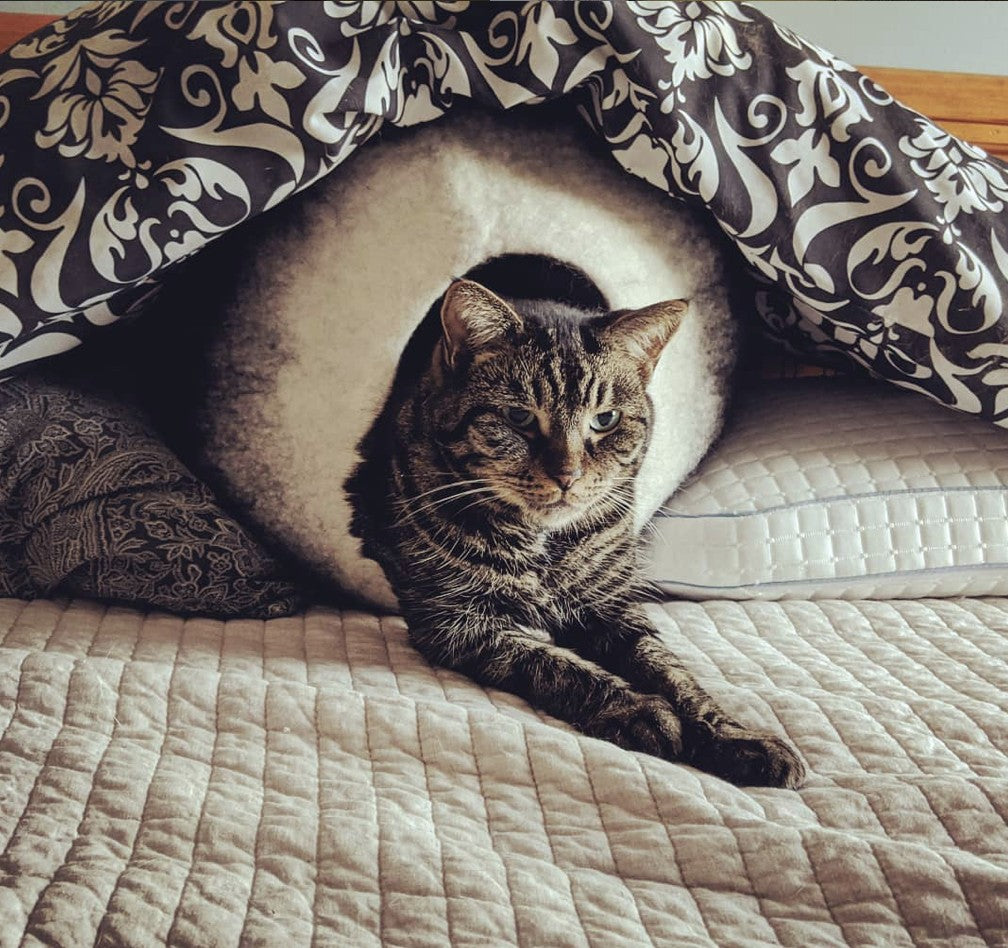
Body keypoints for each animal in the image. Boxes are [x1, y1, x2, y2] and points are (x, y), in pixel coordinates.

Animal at [350, 278, 806, 790]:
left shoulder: (613, 608)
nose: (567, 475)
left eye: (605, 420)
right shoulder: (459, 622)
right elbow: (555, 664)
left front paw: (735, 734)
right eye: (519, 418)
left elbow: (673, 673)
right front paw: (636, 709)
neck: (542, 545)